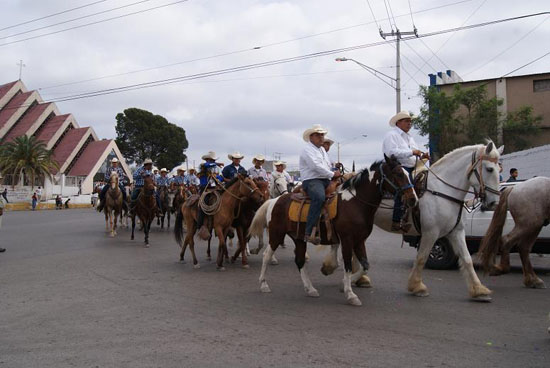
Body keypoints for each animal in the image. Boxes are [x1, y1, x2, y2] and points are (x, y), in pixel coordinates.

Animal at [248, 155, 416, 304]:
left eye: (408, 173)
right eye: (398, 173)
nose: (413, 198)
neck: (355, 204)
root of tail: (274, 200)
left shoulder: (360, 241)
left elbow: (365, 266)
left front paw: (344, 285)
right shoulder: (347, 240)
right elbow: (347, 264)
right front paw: (350, 294)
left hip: (299, 238)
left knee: (300, 260)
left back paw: (310, 289)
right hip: (276, 234)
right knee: (267, 255)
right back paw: (263, 284)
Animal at [326, 142, 506, 302]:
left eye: (499, 169)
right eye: (489, 169)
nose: (493, 203)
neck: (442, 192)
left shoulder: (457, 231)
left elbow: (467, 259)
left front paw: (479, 290)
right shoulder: (431, 233)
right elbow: (422, 258)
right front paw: (417, 287)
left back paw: (360, 279)